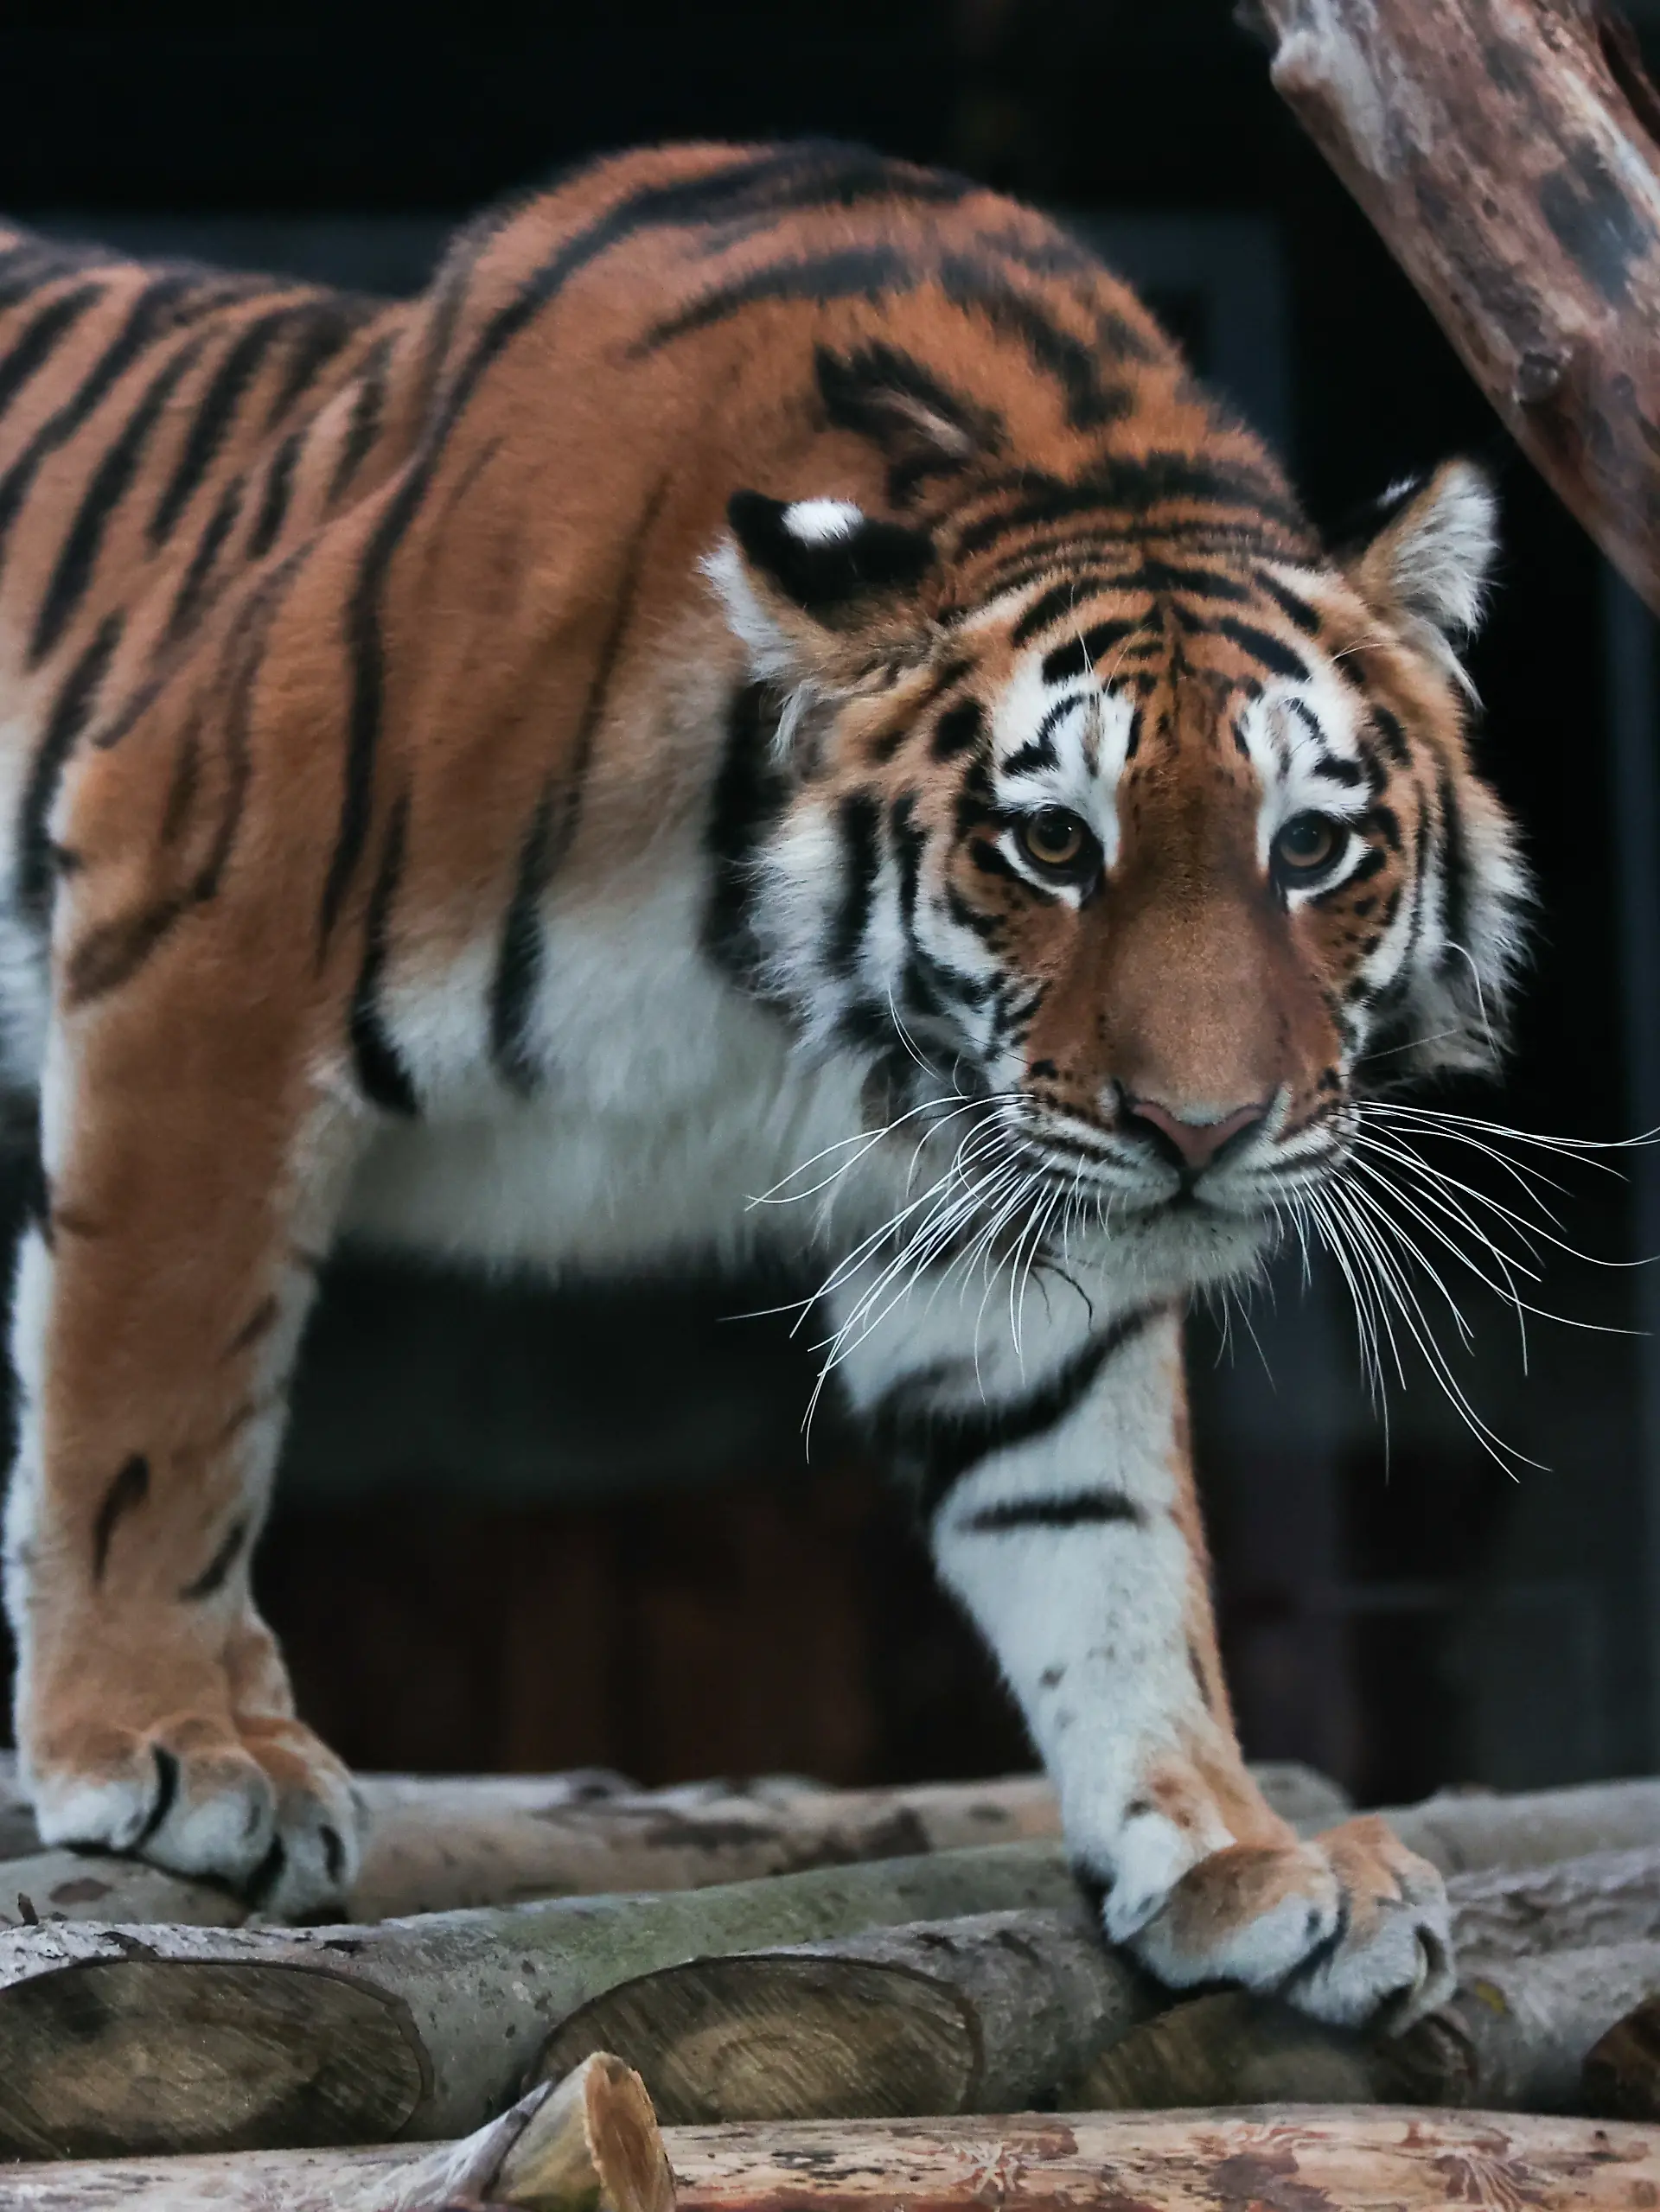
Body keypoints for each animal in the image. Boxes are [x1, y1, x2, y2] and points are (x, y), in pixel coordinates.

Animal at [0, 140, 1526, 2022]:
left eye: (1309, 848)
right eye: (1053, 842)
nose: (1202, 1130)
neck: (775, 977)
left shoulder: (1007, 1192)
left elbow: (1102, 1530)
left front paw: (1235, 1849)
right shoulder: (205, 926)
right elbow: (152, 1401)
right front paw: (170, 1745)